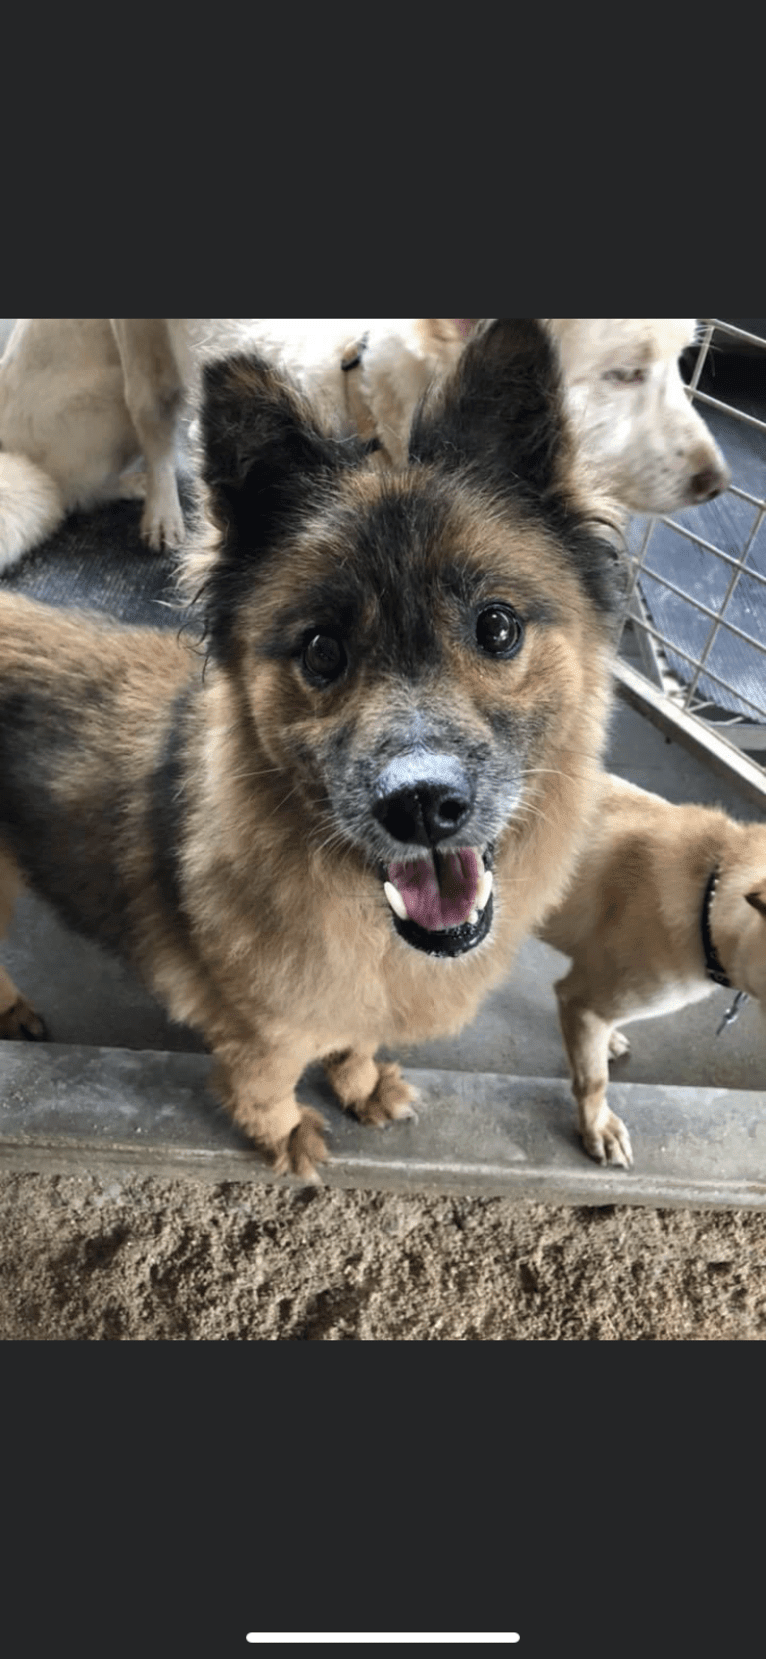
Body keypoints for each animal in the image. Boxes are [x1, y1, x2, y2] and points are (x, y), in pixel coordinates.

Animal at [0, 316, 729, 570]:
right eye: (623, 374)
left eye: (681, 361)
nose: (716, 483)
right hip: (145, 370)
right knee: (150, 439)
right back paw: (158, 509)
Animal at [0, 320, 623, 1181]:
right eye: (322, 651)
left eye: (496, 626)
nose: (421, 806)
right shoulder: (259, 1034)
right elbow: (264, 1086)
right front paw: (286, 1133)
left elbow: (353, 1042)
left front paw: (359, 1086)